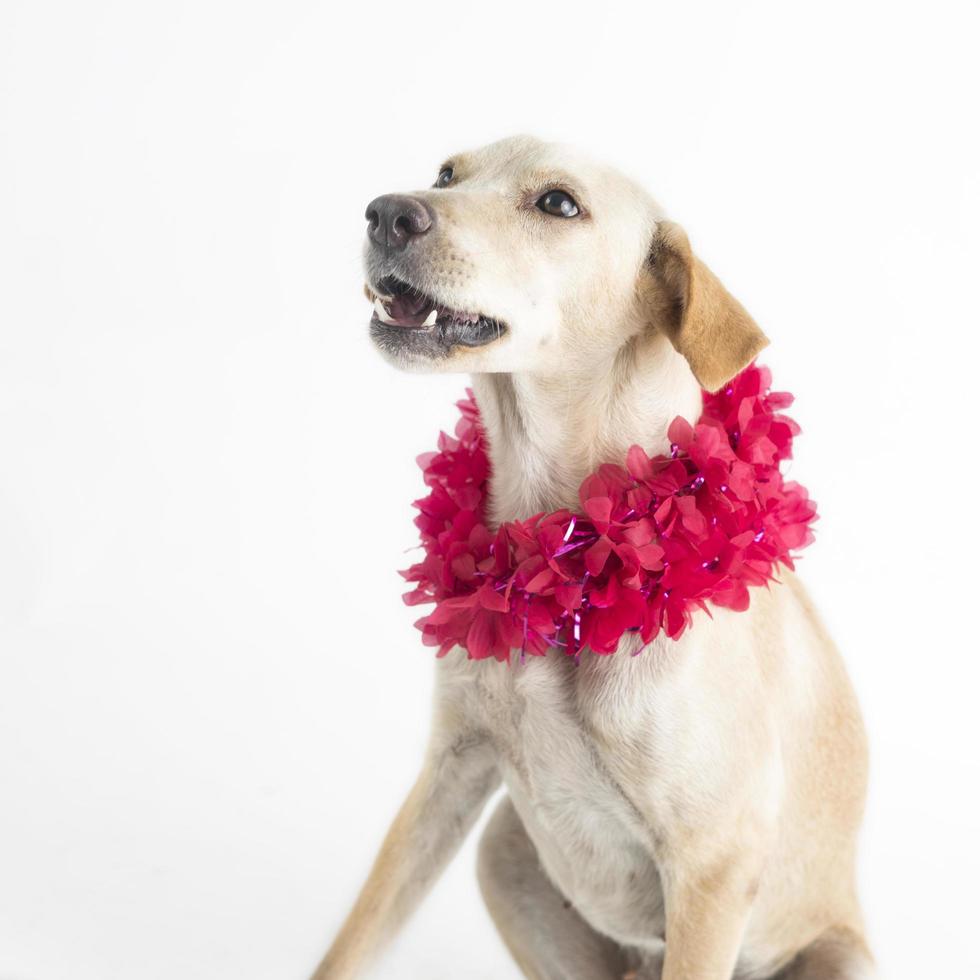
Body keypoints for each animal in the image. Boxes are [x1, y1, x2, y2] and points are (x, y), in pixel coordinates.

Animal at [312, 136, 864, 980]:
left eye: (558, 204)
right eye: (446, 174)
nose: (386, 213)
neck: (565, 552)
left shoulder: (713, 865)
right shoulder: (447, 775)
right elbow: (357, 939)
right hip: (503, 853)